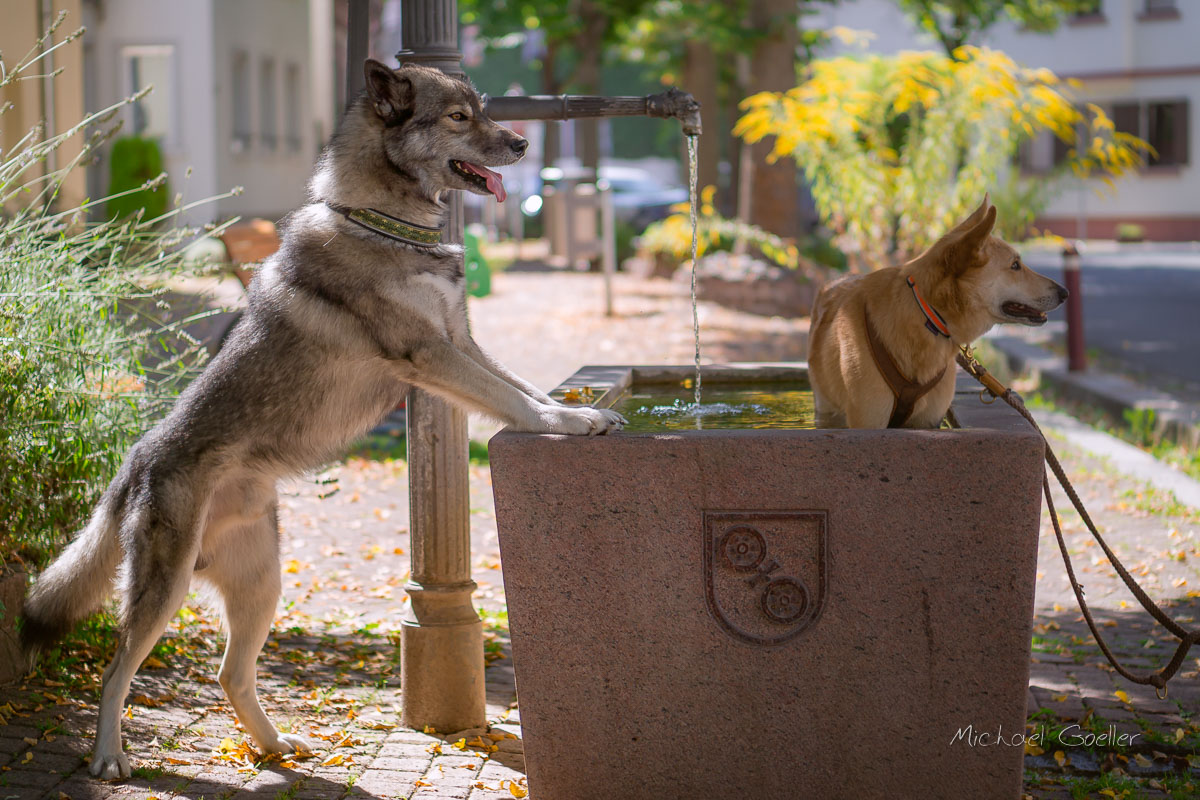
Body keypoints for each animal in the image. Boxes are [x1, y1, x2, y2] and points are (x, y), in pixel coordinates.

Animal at [18, 59, 628, 777]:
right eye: (460, 117)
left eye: (482, 108)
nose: (524, 144)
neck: (383, 221)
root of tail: (134, 462)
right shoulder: (433, 354)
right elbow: (512, 401)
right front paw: (568, 425)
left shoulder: (462, 344)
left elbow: (521, 387)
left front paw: (575, 410)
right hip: (164, 593)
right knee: (116, 673)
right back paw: (110, 758)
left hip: (261, 587)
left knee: (230, 674)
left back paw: (274, 747)